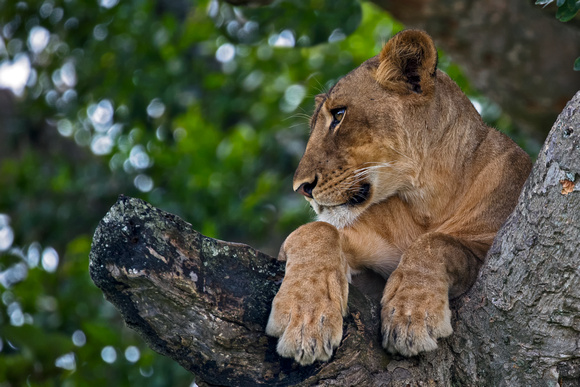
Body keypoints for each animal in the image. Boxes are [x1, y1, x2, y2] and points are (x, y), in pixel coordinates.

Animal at [266, 29, 532, 364]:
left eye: (339, 114)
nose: (301, 187)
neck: (424, 202)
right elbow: (315, 230)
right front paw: (305, 318)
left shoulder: (493, 240)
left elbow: (437, 242)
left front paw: (411, 316)